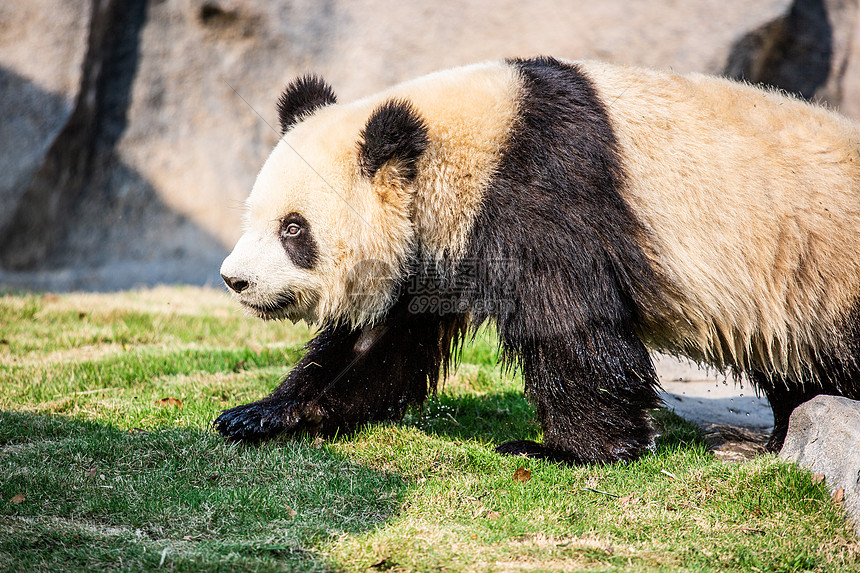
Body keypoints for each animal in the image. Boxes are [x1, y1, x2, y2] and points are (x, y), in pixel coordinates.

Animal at [213, 55, 860, 462]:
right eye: (253, 217)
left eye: (293, 230)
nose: (235, 280)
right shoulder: (434, 246)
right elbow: (382, 341)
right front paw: (263, 414)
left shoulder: (541, 189)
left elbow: (570, 321)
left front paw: (572, 450)